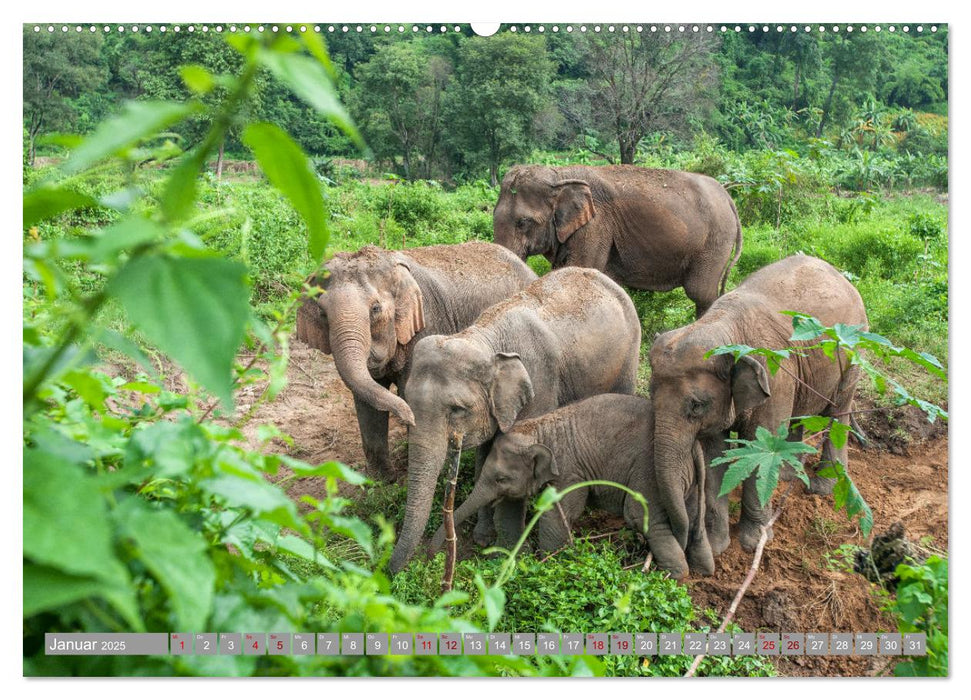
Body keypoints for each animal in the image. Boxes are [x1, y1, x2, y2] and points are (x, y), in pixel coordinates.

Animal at [296, 243, 540, 478]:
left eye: (375, 308)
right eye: (322, 313)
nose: (408, 418)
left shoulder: (426, 324)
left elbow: (407, 391)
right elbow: (366, 400)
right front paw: (380, 481)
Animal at [388, 266, 644, 572]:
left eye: (457, 410)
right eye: (409, 402)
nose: (428, 557)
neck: (482, 338)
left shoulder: (539, 385)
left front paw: (507, 558)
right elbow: (486, 454)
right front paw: (484, 539)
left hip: (628, 355)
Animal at [494, 164, 744, 318]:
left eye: (523, 222)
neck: (560, 175)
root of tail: (728, 198)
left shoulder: (596, 225)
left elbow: (580, 268)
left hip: (715, 241)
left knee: (701, 292)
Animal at [648, 254, 868, 556]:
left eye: (696, 406)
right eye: (649, 394)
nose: (687, 545)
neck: (720, 327)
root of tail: (841, 276)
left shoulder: (774, 377)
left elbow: (762, 450)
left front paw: (753, 544)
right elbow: (714, 454)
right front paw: (717, 547)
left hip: (854, 347)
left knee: (838, 411)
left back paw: (823, 487)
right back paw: (787, 476)